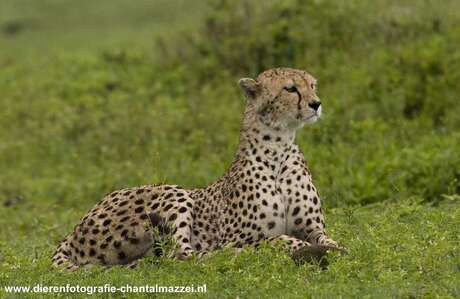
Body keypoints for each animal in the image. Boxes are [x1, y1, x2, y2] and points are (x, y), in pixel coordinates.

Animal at [52, 68, 344, 272]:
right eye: (290, 88)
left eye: (312, 85)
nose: (316, 103)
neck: (278, 149)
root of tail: (74, 229)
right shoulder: (234, 239)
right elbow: (272, 239)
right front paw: (297, 248)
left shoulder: (313, 227)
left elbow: (330, 240)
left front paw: (334, 249)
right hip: (172, 191)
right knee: (182, 256)